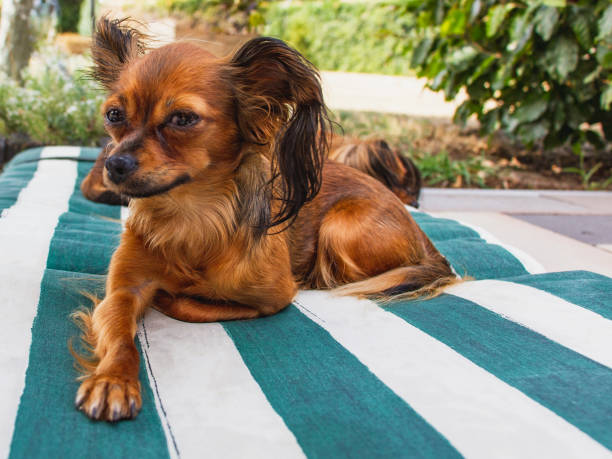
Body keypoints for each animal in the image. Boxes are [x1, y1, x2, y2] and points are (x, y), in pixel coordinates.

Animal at [74, 18, 454, 422]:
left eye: (183, 119)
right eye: (114, 115)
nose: (114, 164)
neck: (189, 216)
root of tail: (423, 234)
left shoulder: (275, 298)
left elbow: (191, 303)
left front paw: (172, 296)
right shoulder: (123, 290)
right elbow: (119, 333)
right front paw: (113, 379)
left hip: (341, 226)